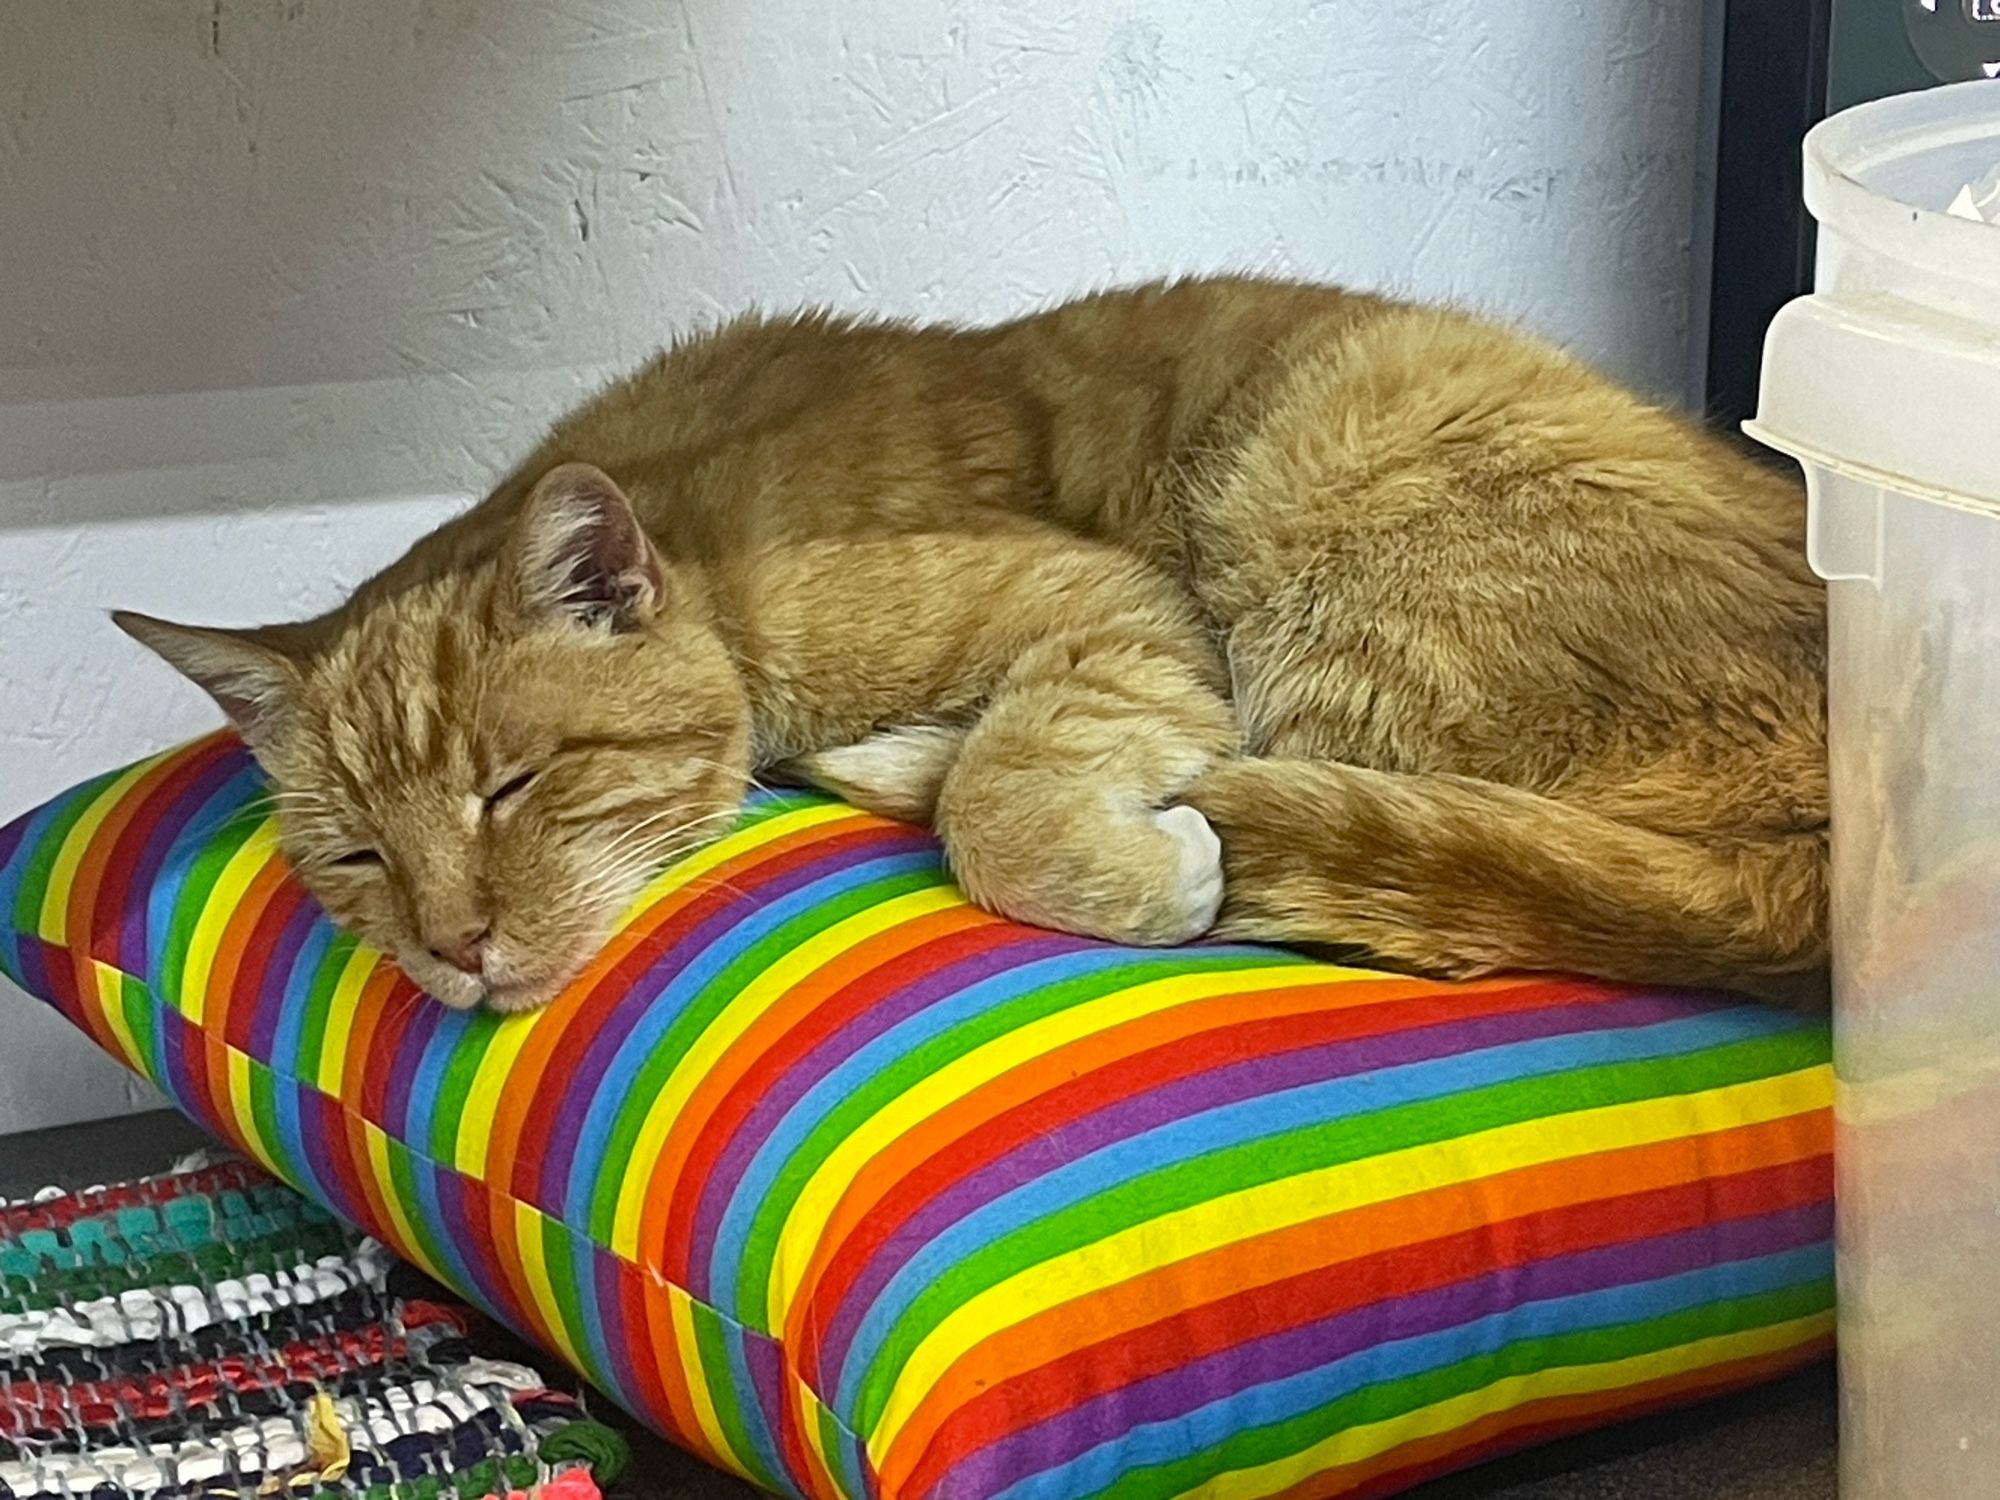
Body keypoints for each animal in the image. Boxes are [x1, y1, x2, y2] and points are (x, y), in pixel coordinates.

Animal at [109, 276, 1832, 1016]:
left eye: (511, 787)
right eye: (356, 861)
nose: (456, 952)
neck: (712, 550)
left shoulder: (1119, 611)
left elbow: (1005, 807)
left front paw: (1134, 865)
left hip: (1317, 488)